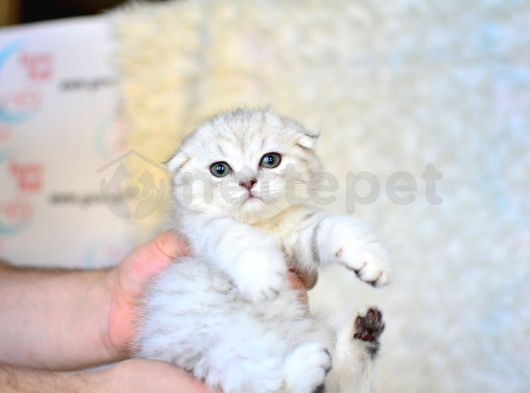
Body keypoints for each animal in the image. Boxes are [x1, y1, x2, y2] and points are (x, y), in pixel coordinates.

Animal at [136, 108, 390, 392]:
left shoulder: (299, 233)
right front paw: (263, 278)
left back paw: (365, 333)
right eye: (220, 169)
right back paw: (309, 364)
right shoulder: (201, 228)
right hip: (223, 353)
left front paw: (372, 261)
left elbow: (334, 226)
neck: (261, 225)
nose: (248, 182)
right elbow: (238, 237)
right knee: (270, 383)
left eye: (270, 160)